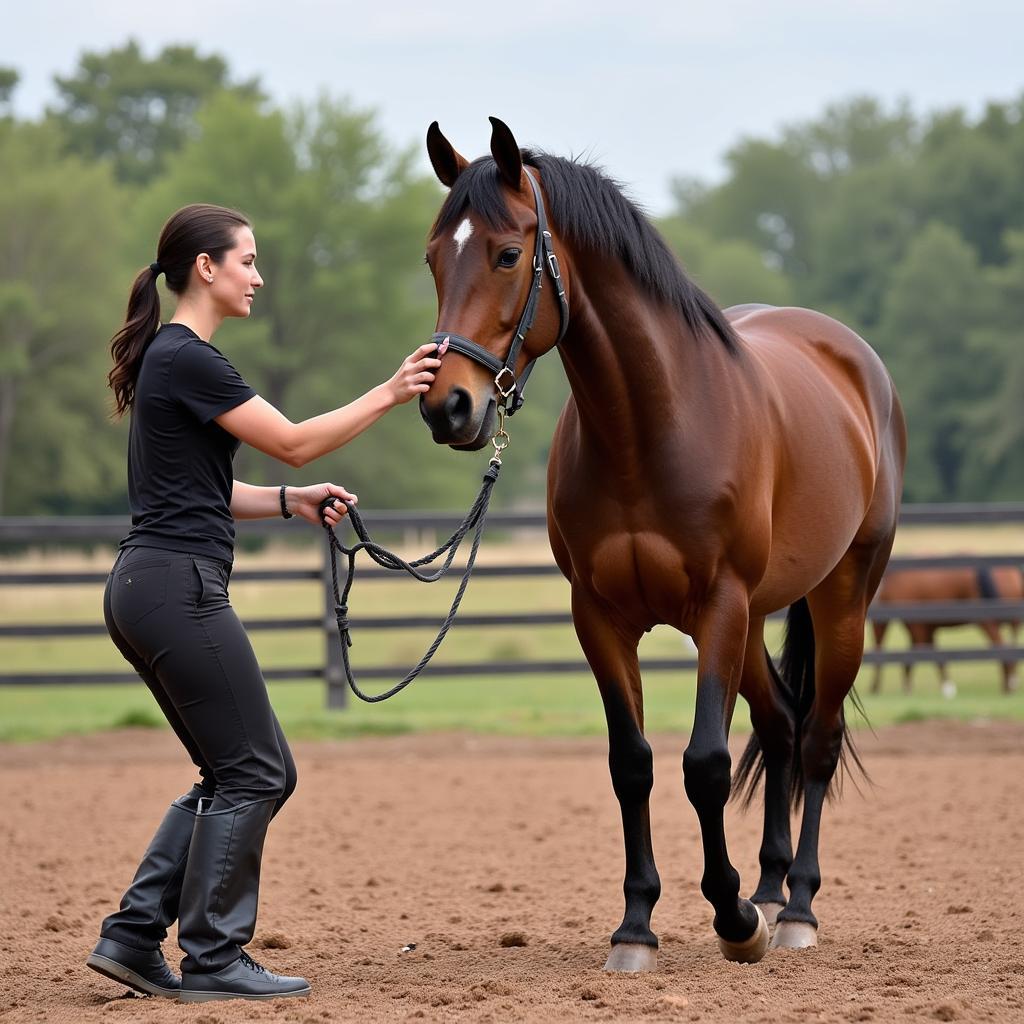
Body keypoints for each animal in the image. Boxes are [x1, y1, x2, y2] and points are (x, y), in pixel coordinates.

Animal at [415, 117, 905, 966]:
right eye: (434, 256)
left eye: (508, 254)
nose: (448, 408)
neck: (649, 428)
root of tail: (852, 360)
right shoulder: (601, 617)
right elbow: (632, 764)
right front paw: (637, 925)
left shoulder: (717, 608)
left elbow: (704, 764)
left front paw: (733, 919)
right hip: (757, 620)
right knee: (779, 726)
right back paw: (770, 888)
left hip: (841, 597)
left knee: (816, 738)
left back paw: (795, 910)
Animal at [872, 565, 1024, 692]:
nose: (873, 688)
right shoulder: (926, 628)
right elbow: (931, 654)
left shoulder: (917, 627)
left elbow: (919, 654)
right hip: (1012, 623)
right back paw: (1010, 683)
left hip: (987, 621)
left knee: (1001, 645)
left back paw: (1007, 685)